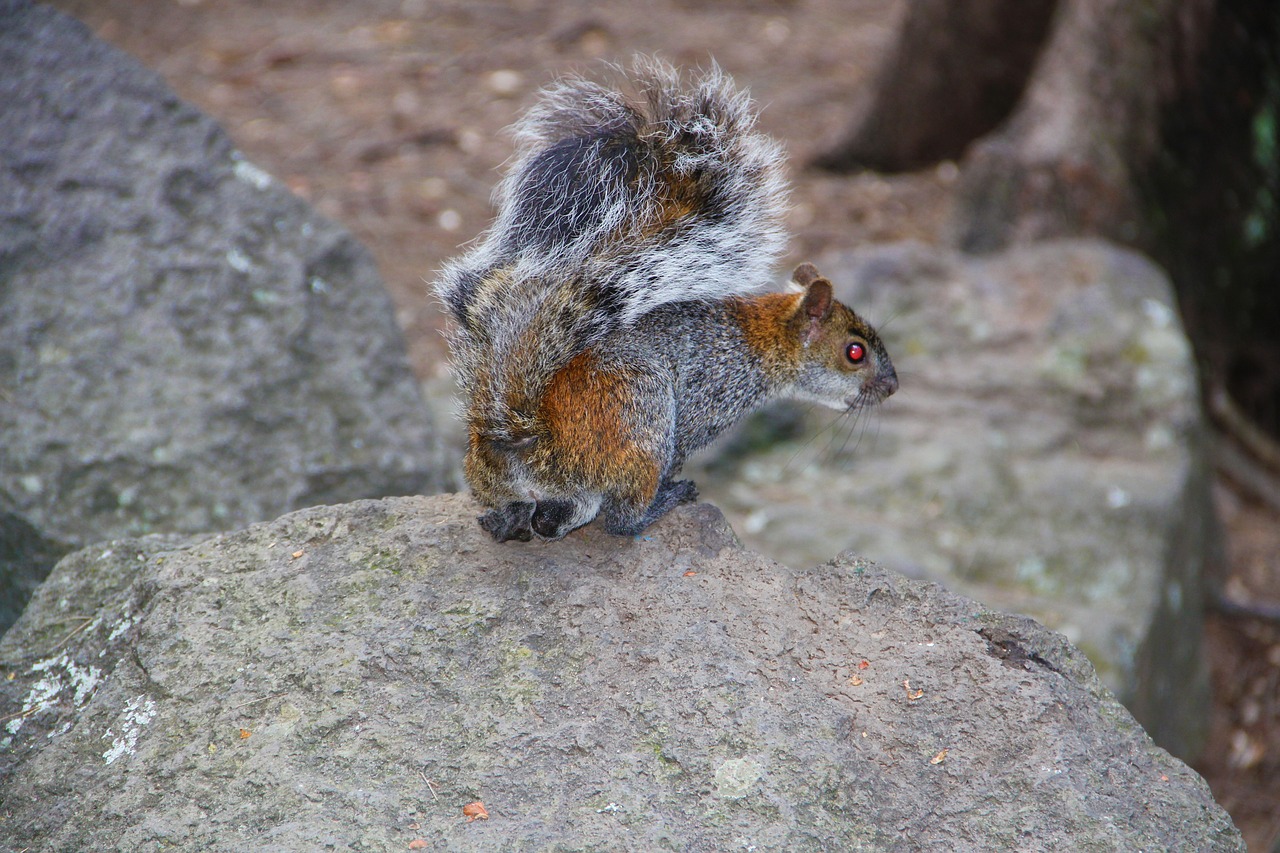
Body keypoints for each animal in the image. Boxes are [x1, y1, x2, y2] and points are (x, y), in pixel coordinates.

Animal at [435, 59, 896, 540]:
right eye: (855, 352)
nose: (892, 386)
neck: (761, 338)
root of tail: (526, 439)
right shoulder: (704, 405)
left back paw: (509, 522)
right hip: (643, 420)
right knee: (621, 518)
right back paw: (660, 503)